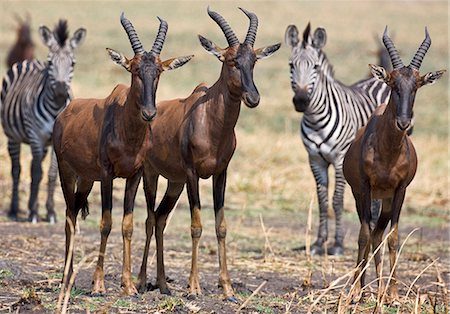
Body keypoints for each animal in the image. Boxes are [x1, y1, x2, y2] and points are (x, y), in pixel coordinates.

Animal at [1, 19, 86, 223]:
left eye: (73, 63)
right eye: (50, 63)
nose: (61, 93)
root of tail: (30, 61)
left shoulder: (56, 142)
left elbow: (52, 173)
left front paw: (50, 212)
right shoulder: (35, 137)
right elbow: (36, 172)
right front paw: (33, 212)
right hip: (13, 137)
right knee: (17, 169)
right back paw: (14, 210)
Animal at [53, 12, 193, 296]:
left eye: (158, 71)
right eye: (134, 69)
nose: (149, 113)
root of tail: (64, 114)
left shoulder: (134, 175)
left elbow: (127, 225)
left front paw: (129, 285)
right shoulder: (107, 174)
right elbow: (105, 222)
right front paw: (98, 285)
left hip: (86, 178)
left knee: (74, 212)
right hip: (66, 172)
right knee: (69, 217)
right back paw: (66, 278)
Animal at [135, 5, 280, 300]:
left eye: (253, 60)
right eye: (231, 60)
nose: (253, 98)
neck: (210, 119)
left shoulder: (220, 173)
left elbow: (221, 227)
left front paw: (228, 288)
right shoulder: (192, 174)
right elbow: (196, 226)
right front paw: (194, 288)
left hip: (175, 183)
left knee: (160, 219)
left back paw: (163, 284)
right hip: (152, 175)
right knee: (149, 219)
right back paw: (143, 282)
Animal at [286, 23, 392, 256]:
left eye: (316, 67)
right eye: (291, 65)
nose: (301, 101)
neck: (315, 118)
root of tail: (378, 77)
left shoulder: (340, 159)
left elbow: (337, 200)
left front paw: (337, 244)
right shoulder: (315, 160)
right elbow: (322, 200)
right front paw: (319, 243)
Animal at [342, 27, 444, 302]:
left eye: (417, 85)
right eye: (392, 83)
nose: (404, 123)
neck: (388, 152)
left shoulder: (400, 191)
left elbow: (393, 237)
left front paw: (394, 294)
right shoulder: (365, 188)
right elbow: (363, 235)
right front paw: (355, 292)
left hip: (386, 200)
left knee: (379, 234)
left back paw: (379, 288)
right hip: (361, 195)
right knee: (369, 233)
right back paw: (362, 287)